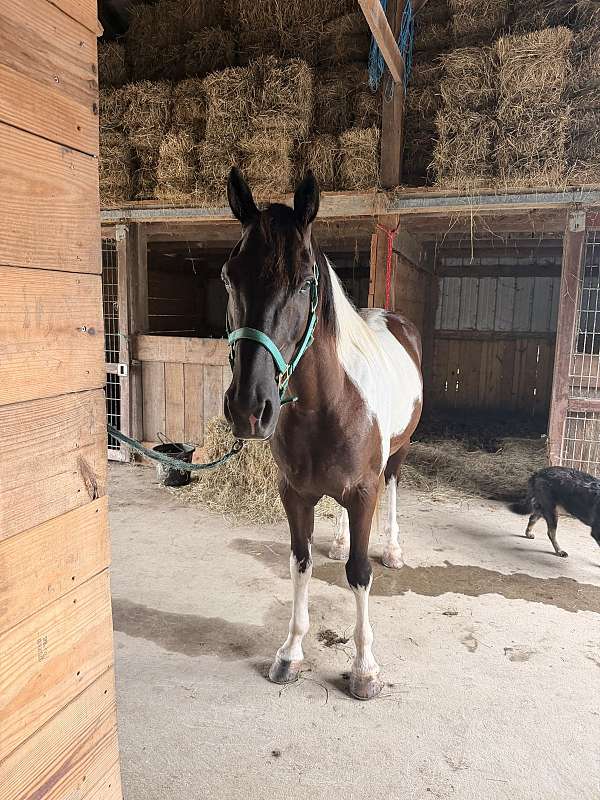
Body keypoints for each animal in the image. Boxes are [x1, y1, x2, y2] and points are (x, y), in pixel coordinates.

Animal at [223, 168, 423, 700]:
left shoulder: (364, 490)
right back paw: (337, 539)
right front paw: (290, 652)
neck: (328, 405)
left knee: (394, 489)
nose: (249, 409)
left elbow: (359, 572)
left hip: (397, 457)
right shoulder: (294, 493)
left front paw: (365, 668)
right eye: (229, 277)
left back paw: (393, 549)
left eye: (304, 283)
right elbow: (301, 562)